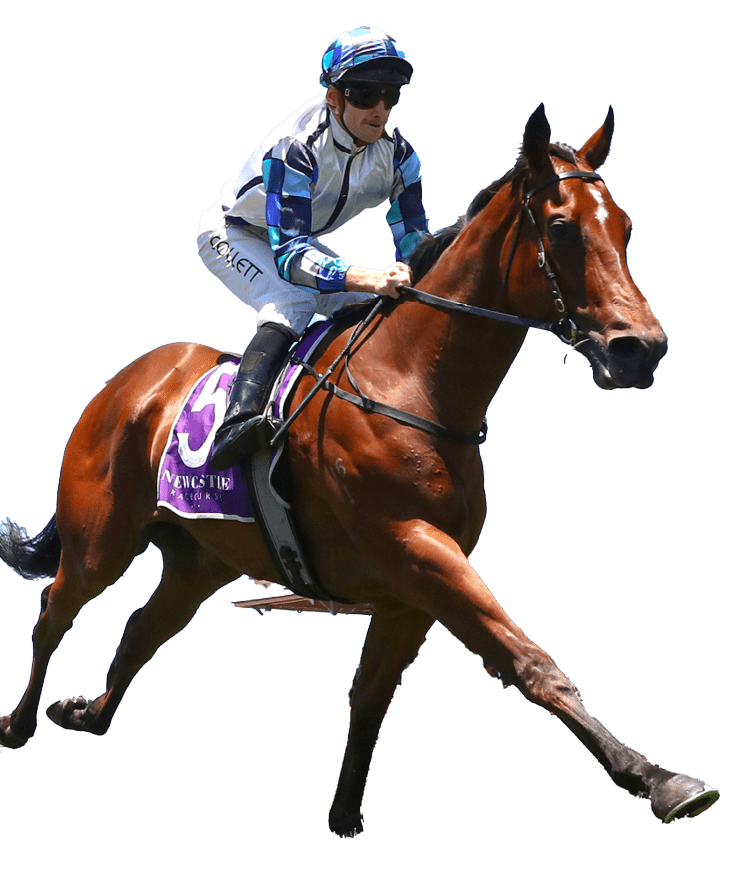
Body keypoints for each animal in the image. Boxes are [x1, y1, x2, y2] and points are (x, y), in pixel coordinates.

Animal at [0, 104, 716, 836]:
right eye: (562, 226)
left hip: (201, 559)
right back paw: (18, 722)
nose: (639, 349)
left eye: (624, 225)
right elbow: (528, 661)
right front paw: (658, 778)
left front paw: (344, 812)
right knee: (54, 608)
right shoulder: (415, 547)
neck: (413, 383)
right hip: (101, 539)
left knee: (143, 627)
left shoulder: (408, 589)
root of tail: (126, 383)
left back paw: (87, 712)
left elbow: (370, 695)